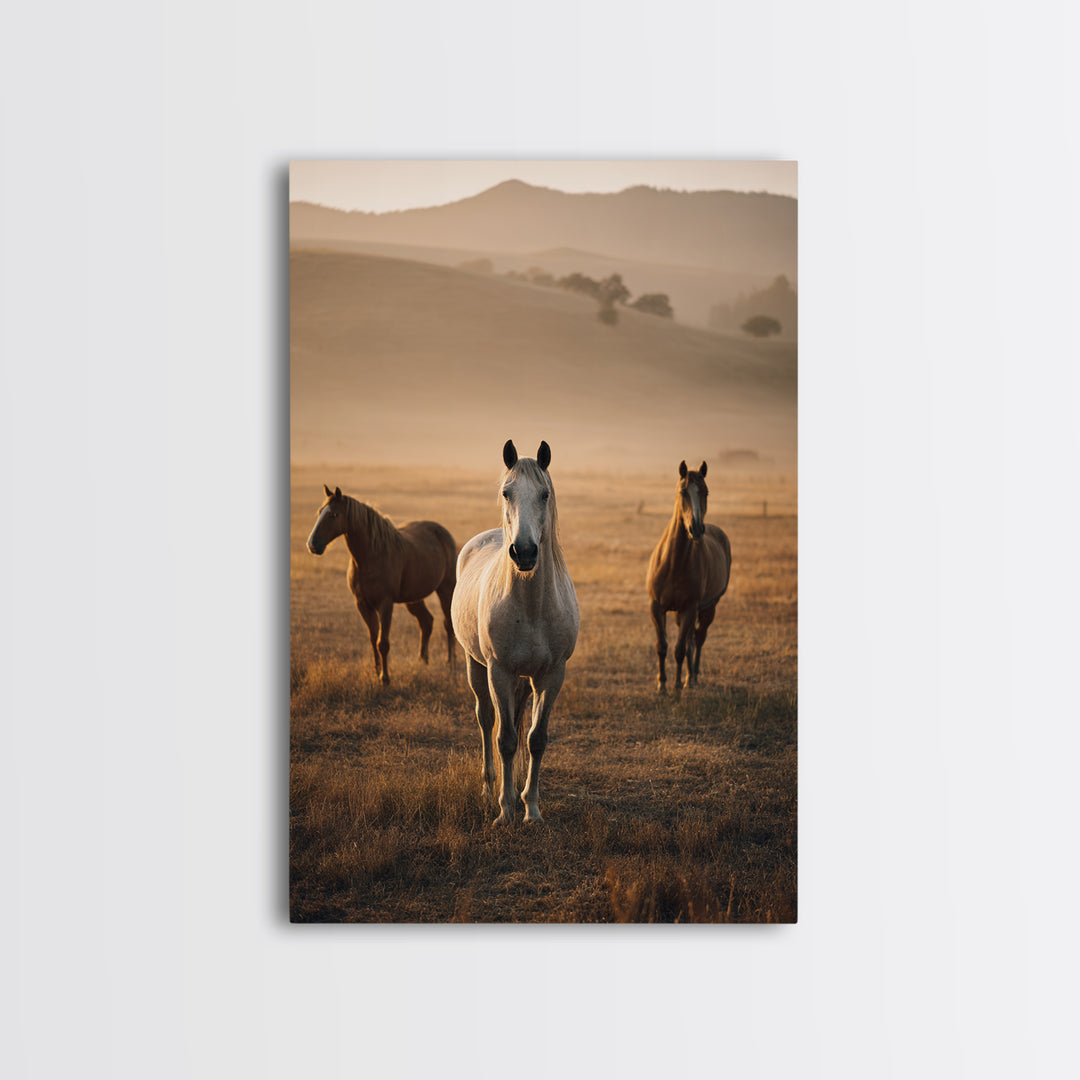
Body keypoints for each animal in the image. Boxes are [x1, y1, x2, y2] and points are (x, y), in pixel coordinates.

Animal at [306, 485, 458, 685]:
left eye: (333, 515)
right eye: (319, 512)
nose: (312, 545)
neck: (370, 556)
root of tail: (443, 532)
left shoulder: (385, 604)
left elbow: (383, 643)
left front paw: (385, 678)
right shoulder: (363, 605)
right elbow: (373, 639)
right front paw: (376, 671)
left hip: (446, 590)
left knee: (448, 624)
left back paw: (451, 662)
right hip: (414, 598)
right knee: (426, 622)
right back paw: (423, 661)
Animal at [451, 440, 579, 825]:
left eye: (545, 494)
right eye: (507, 492)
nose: (523, 551)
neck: (532, 607)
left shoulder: (551, 675)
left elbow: (536, 739)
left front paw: (531, 808)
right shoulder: (500, 672)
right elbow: (505, 739)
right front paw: (505, 810)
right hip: (476, 665)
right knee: (486, 719)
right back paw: (488, 787)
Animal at [646, 460, 732, 693]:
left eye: (706, 492)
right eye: (683, 491)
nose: (696, 528)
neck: (674, 563)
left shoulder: (689, 608)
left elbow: (679, 649)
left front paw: (675, 686)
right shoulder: (656, 607)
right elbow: (662, 646)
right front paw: (661, 684)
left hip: (708, 608)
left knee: (698, 639)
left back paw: (691, 678)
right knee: (692, 640)